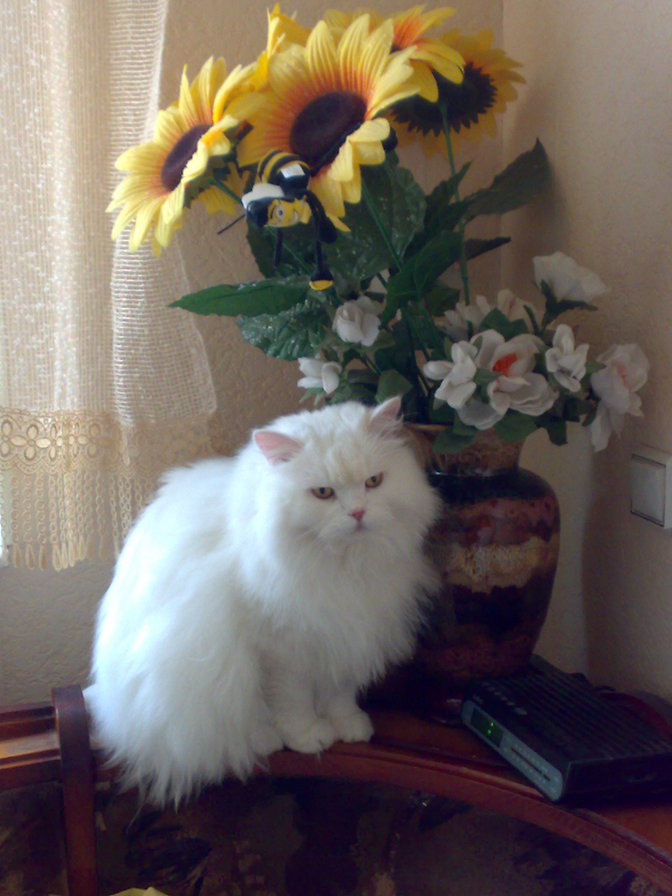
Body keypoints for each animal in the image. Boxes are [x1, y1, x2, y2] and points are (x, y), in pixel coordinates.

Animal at [85, 397, 440, 806]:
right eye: (323, 493)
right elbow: (293, 701)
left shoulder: (345, 635)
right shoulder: (281, 651)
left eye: (373, 482)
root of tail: (106, 700)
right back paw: (266, 739)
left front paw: (348, 726)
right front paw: (308, 737)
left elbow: (339, 693)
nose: (357, 513)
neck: (344, 569)